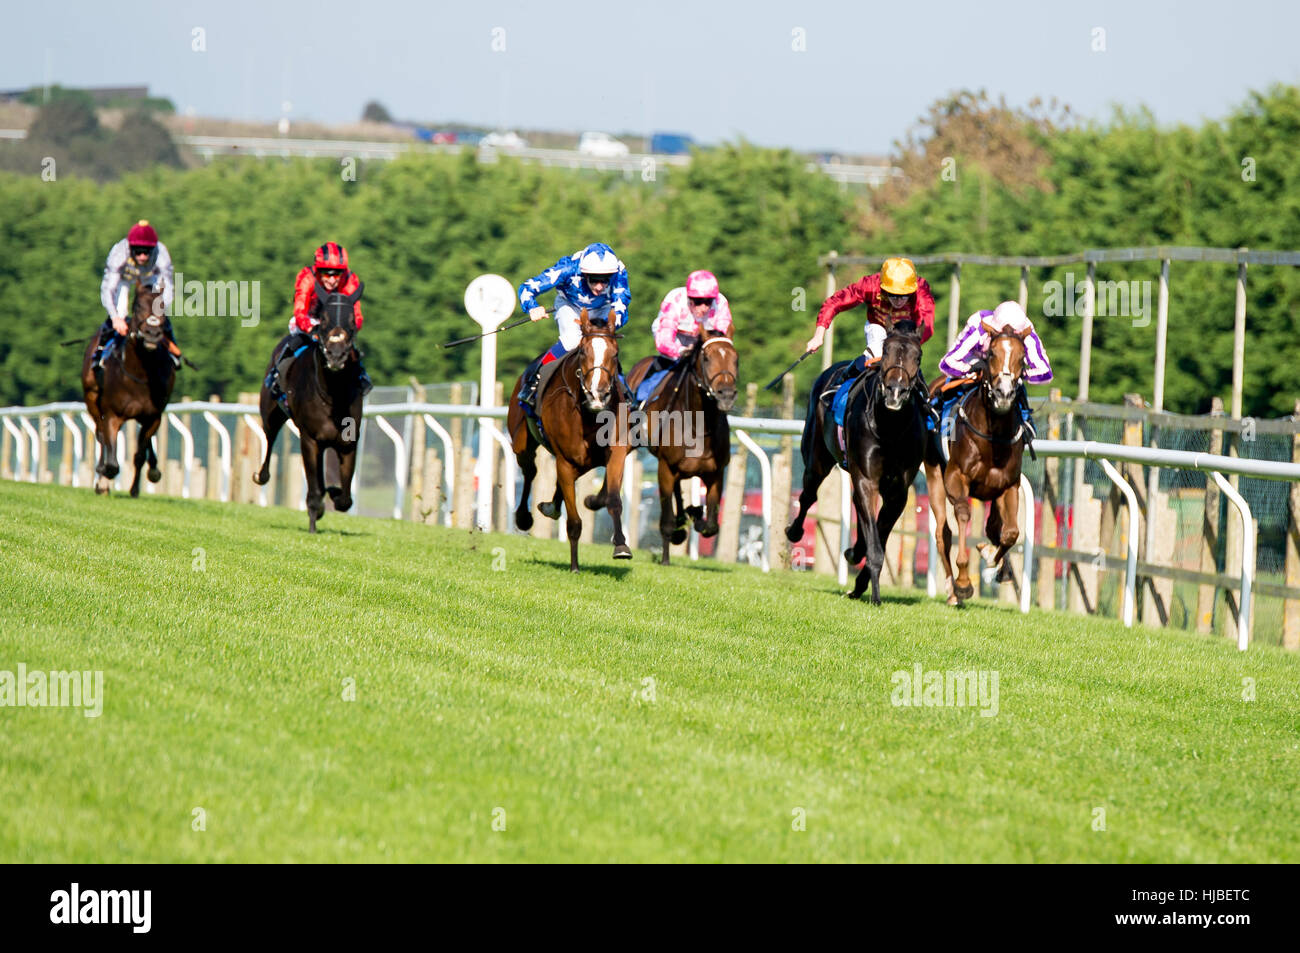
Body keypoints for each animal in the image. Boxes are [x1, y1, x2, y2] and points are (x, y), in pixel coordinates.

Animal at [79, 278, 175, 494]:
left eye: (163, 306)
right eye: (138, 305)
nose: (152, 333)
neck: (140, 375)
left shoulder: (154, 416)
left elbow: (139, 454)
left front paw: (135, 488)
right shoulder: (112, 415)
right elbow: (112, 462)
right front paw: (103, 478)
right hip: (92, 398)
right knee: (100, 433)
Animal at [253, 282, 366, 535]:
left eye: (351, 322)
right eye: (323, 320)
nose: (336, 355)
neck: (333, 395)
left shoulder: (348, 441)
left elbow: (345, 500)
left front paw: (333, 493)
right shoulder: (310, 439)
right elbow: (314, 489)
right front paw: (315, 519)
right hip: (271, 412)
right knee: (269, 438)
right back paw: (261, 475)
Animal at [504, 308, 631, 569]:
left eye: (615, 354)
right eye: (583, 351)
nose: (597, 395)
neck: (590, 415)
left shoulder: (616, 453)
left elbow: (614, 499)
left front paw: (621, 545)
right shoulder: (564, 460)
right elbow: (574, 521)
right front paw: (574, 566)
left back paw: (551, 505)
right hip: (521, 442)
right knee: (530, 471)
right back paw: (524, 516)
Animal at [624, 328, 738, 561]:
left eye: (736, 358)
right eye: (706, 357)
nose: (726, 395)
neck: (698, 425)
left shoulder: (716, 473)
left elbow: (711, 526)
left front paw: (695, 514)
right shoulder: (665, 468)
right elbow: (666, 520)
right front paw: (667, 557)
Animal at [925, 319, 1034, 603]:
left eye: (1022, 358)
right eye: (992, 354)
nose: (1004, 394)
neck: (992, 438)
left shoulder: (1008, 486)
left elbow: (1010, 532)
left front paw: (991, 561)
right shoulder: (956, 478)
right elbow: (963, 515)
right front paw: (964, 582)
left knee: (995, 526)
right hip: (934, 475)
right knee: (942, 533)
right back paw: (952, 590)